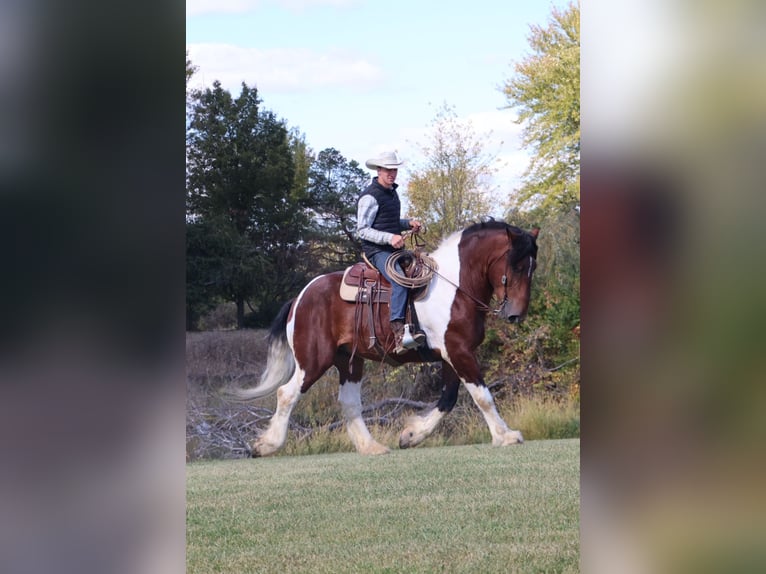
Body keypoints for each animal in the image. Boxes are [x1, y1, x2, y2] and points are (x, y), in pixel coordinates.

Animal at [233, 220, 539, 456]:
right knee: (287, 393)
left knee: (349, 403)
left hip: (349, 362)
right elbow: (482, 396)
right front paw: (506, 435)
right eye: (515, 265)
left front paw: (411, 435)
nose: (516, 314)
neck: (455, 286)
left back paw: (371, 447)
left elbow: (449, 398)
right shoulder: (458, 351)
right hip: (313, 360)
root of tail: (300, 297)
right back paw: (266, 446)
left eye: (532, 267)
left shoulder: (452, 353)